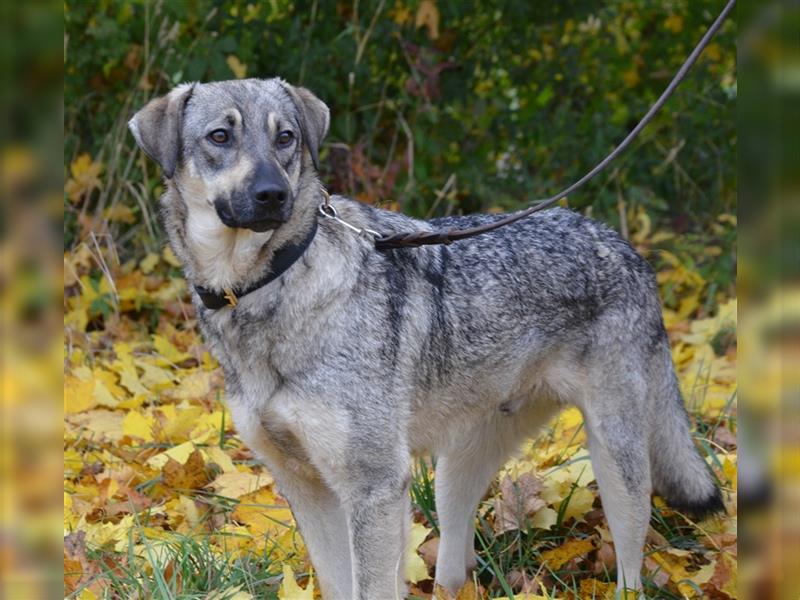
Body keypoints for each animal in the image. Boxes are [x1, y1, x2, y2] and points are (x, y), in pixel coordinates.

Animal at [130, 79, 724, 600]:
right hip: (453, 474)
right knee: (453, 570)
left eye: (285, 138)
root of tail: (626, 247)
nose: (273, 194)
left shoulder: (373, 488)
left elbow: (371, 588)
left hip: (616, 463)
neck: (273, 283)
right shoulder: (308, 488)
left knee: (631, 566)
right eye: (220, 137)